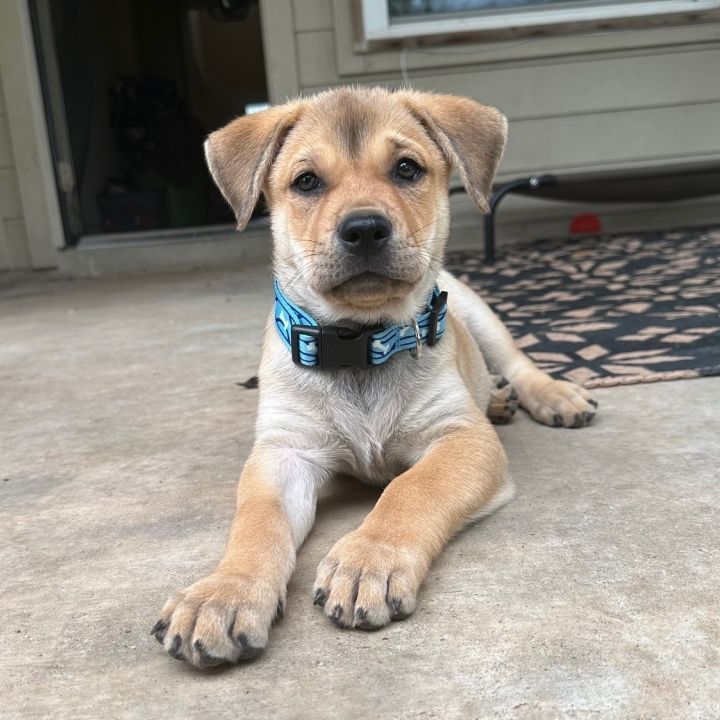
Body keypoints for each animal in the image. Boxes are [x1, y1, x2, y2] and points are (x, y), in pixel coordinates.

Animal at [150, 87, 596, 668]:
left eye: (407, 169)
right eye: (306, 182)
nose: (364, 229)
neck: (360, 346)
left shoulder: (463, 437)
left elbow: (411, 488)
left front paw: (369, 561)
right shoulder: (283, 453)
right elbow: (256, 522)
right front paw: (224, 593)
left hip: (472, 305)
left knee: (518, 362)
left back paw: (549, 396)